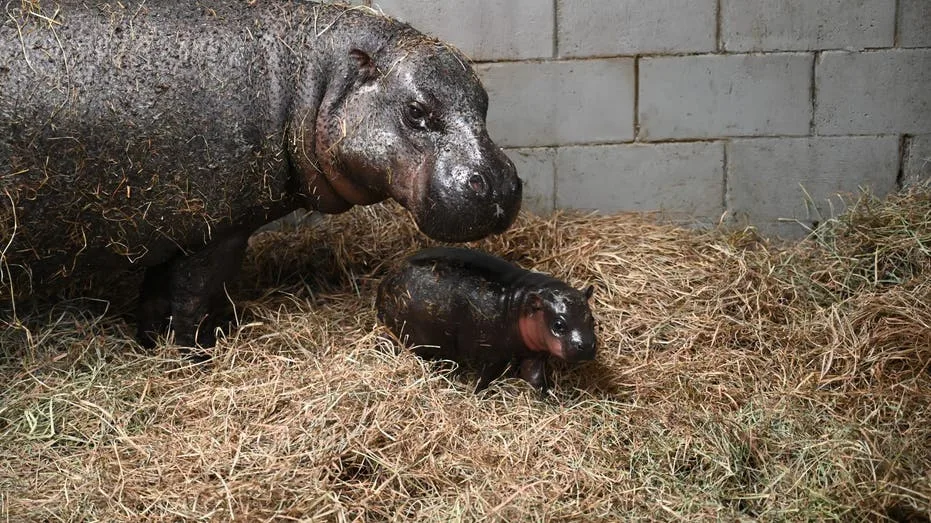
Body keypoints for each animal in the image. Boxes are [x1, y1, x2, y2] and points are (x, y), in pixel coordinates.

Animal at [0, 2, 521, 351]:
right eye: (416, 111)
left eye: (485, 101)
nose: (499, 183)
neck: (311, 80)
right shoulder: (215, 231)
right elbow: (186, 301)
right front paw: (193, 356)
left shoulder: (173, 228)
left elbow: (155, 300)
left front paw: (151, 347)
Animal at [376, 247, 596, 395]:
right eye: (558, 325)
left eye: (592, 319)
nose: (586, 345)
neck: (521, 304)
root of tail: (386, 280)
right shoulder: (494, 354)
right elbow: (486, 378)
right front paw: (475, 394)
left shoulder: (533, 353)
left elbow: (534, 377)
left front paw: (547, 396)